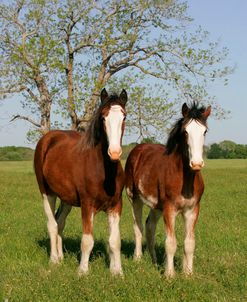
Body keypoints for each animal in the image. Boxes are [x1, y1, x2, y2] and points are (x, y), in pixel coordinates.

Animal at [33, 88, 127, 276]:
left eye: (124, 117)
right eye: (103, 117)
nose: (114, 153)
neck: (104, 173)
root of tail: (47, 139)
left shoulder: (115, 206)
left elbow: (114, 241)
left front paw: (117, 272)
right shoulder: (87, 205)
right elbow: (87, 240)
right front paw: (83, 271)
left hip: (66, 198)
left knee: (60, 223)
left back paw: (61, 257)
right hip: (47, 193)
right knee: (52, 224)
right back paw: (54, 260)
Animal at [125, 102, 210, 278]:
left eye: (204, 131)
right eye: (185, 131)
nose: (196, 163)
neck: (185, 180)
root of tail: (138, 149)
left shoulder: (192, 210)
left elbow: (189, 243)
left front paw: (188, 273)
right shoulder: (170, 209)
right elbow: (171, 243)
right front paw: (170, 274)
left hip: (157, 206)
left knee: (150, 226)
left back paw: (154, 260)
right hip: (134, 198)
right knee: (138, 226)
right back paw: (138, 258)